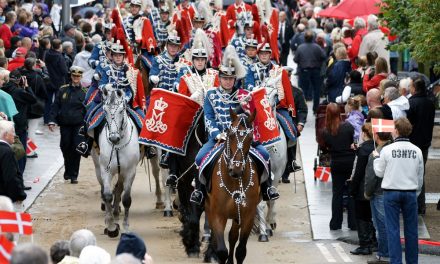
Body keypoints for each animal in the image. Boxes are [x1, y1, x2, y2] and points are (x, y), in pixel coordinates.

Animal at [91, 85, 141, 237]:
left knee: (119, 189)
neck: (118, 145)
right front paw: (111, 227)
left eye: (121, 110)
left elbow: (126, 198)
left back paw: (116, 212)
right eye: (105, 111)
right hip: (98, 167)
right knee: (105, 190)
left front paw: (125, 226)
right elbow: (107, 195)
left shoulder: (130, 171)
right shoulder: (106, 170)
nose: (113, 138)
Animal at [206, 109, 262, 264]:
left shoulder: (248, 216)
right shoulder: (218, 215)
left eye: (250, 137)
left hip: (237, 216)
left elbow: (241, 250)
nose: (236, 169)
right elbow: (221, 251)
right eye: (230, 134)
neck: (235, 181)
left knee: (232, 236)